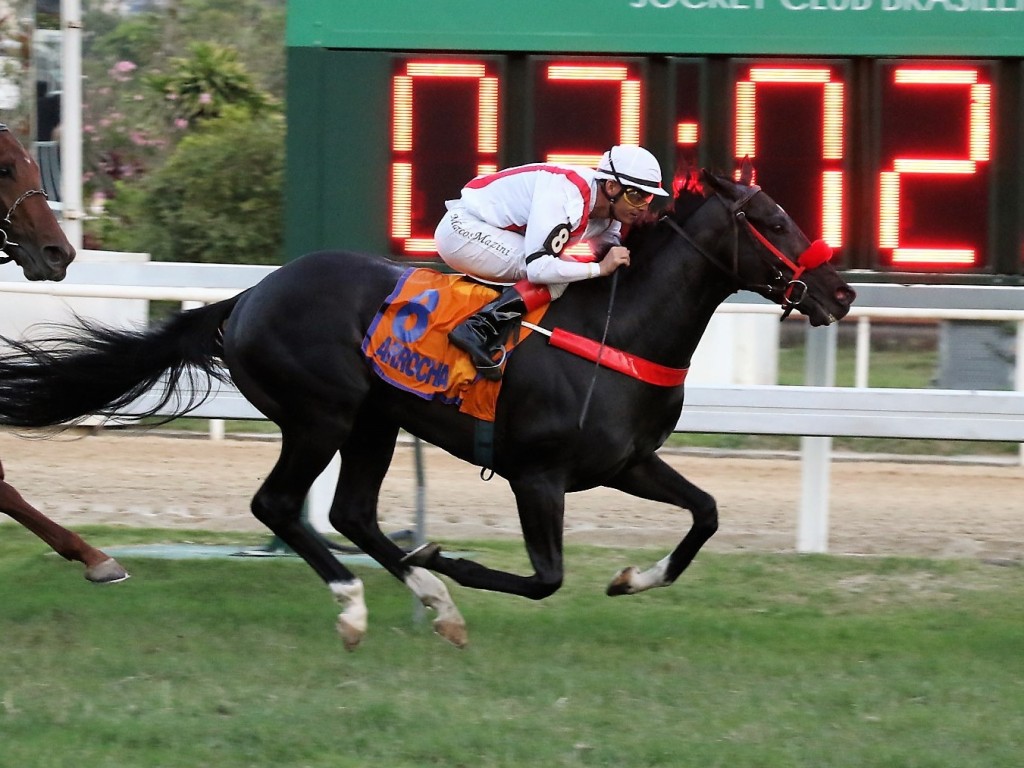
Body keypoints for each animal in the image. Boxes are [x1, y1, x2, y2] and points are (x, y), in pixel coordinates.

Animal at [0, 166, 851, 651]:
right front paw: (456, 561)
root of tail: (247, 297)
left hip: (375, 421)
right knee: (280, 504)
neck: (624, 327)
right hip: (323, 415)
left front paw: (631, 580)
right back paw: (360, 603)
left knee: (350, 513)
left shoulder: (629, 461)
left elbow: (704, 514)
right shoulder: (535, 475)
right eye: (774, 221)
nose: (841, 293)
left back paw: (429, 597)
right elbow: (545, 578)